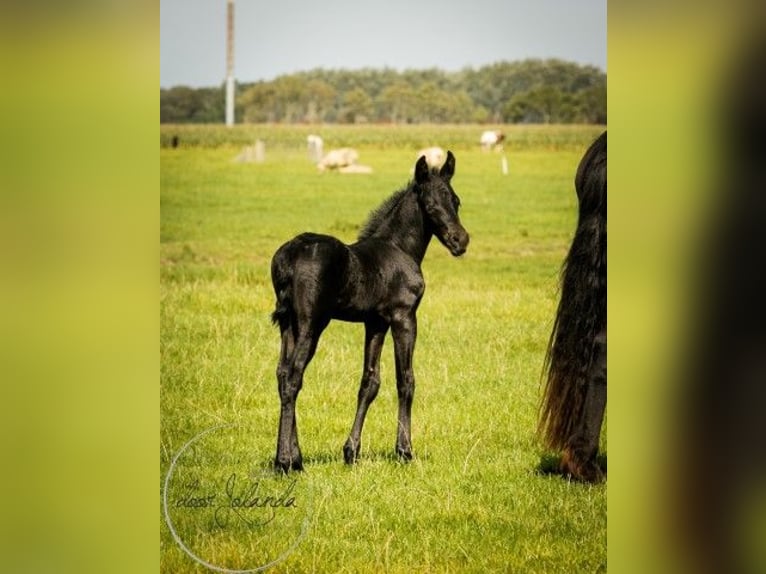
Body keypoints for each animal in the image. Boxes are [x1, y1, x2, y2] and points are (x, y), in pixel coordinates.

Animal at [272, 152, 472, 472]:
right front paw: (404, 451)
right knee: (293, 377)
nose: (460, 241)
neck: (399, 248)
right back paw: (285, 462)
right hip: (311, 324)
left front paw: (351, 452)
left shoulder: (375, 322)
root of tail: (286, 258)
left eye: (456, 200)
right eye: (429, 206)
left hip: (287, 324)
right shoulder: (404, 317)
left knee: (281, 374)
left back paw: (296, 456)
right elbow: (406, 380)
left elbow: (370, 382)